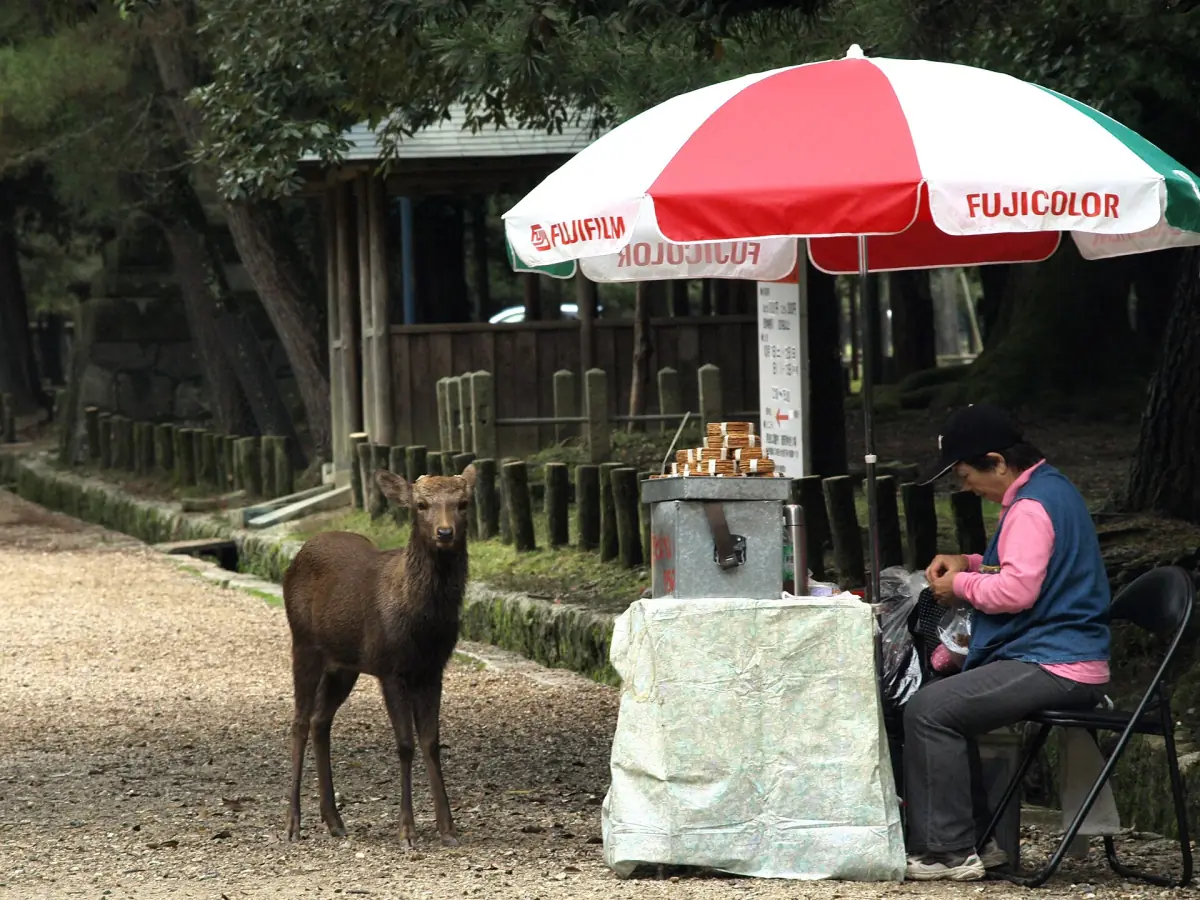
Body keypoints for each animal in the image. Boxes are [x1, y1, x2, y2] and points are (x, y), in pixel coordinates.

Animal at [282, 465, 477, 848]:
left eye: (463, 503)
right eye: (420, 504)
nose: (445, 532)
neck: (421, 626)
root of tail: (295, 558)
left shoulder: (433, 669)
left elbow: (431, 742)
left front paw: (448, 828)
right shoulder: (390, 667)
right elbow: (405, 743)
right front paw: (407, 831)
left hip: (343, 666)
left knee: (320, 720)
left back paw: (334, 821)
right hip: (304, 643)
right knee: (299, 722)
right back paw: (293, 824)